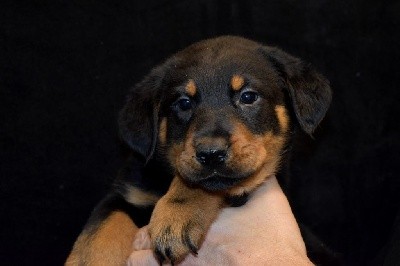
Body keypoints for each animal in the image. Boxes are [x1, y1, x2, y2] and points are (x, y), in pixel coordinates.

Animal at [66, 35, 332, 266]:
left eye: (248, 97)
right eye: (183, 103)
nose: (211, 153)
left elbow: (201, 185)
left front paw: (176, 215)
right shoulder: (127, 193)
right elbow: (99, 231)